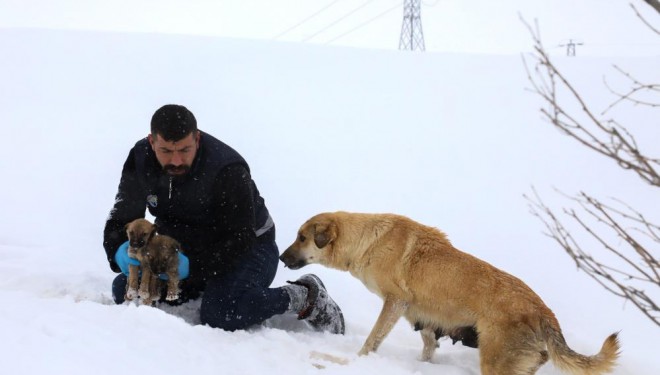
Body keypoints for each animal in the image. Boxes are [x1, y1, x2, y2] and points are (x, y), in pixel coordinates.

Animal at [280, 213, 620, 374]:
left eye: (302, 238)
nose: (281, 258)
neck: (368, 240)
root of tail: (544, 312)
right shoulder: (422, 317)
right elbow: (428, 345)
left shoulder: (396, 302)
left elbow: (372, 340)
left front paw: (358, 361)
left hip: (497, 364)